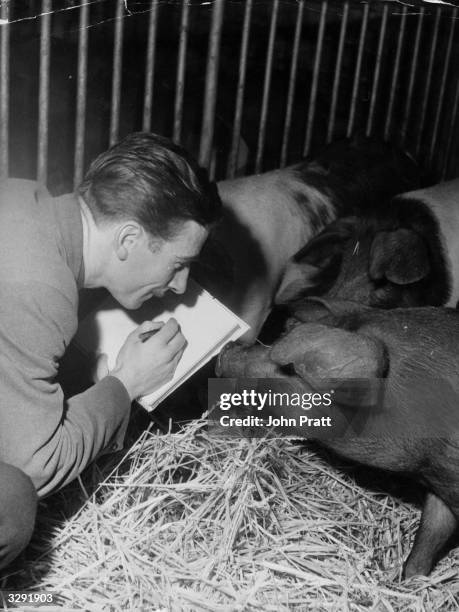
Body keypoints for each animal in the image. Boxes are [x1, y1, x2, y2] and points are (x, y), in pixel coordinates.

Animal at [217, 298, 459, 580]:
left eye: (288, 369)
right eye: (284, 330)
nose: (225, 350)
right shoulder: (438, 480)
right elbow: (431, 533)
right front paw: (405, 580)